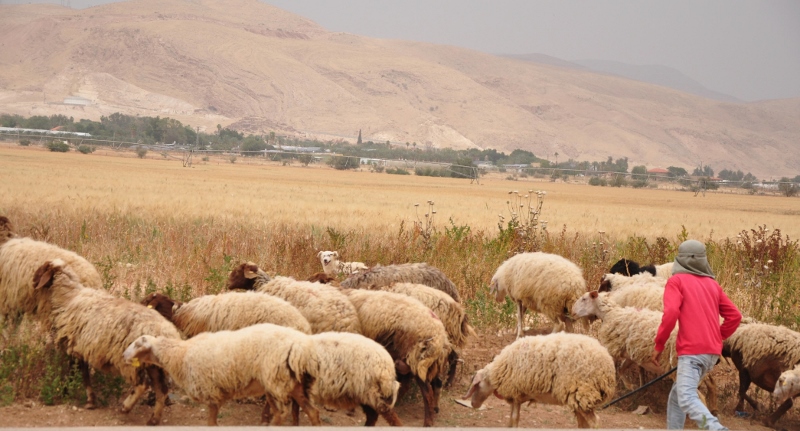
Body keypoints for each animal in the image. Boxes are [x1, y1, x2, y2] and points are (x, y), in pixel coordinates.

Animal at [31, 259, 181, 425]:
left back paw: (126, 407)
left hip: (129, 358)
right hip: (153, 364)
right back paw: (153, 419)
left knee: (142, 384)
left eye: (42, 269)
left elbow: (78, 373)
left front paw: (73, 395)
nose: (33, 281)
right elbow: (83, 373)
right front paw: (89, 399)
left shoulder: (75, 345)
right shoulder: (82, 347)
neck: (69, 298)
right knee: (161, 389)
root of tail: (165, 330)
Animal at [123, 323, 321, 426]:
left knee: (283, 413)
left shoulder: (211, 392)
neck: (180, 355)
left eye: (137, 344)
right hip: (291, 384)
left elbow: (211, 424)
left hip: (276, 381)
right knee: (311, 412)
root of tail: (301, 347)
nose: (124, 355)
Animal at [342, 288, 450, 427]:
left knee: (426, 393)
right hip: (415, 363)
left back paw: (428, 422)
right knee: (422, 384)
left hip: (417, 362)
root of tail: (441, 338)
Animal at [463, 332, 616, 428]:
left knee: (595, 423)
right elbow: (512, 420)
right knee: (583, 424)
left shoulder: (515, 393)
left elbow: (514, 419)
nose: (473, 404)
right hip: (578, 399)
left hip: (584, 392)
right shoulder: (516, 396)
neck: (497, 371)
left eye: (476, 385)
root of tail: (608, 367)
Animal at [572, 291, 718, 414]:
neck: (611, 314)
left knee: (700, 397)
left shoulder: (612, 349)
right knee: (710, 386)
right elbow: (621, 369)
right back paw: (712, 408)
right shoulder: (630, 353)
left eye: (584, 299)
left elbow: (614, 370)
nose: (572, 312)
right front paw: (630, 386)